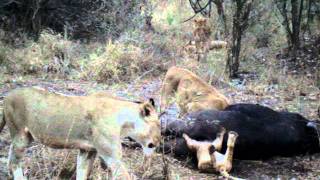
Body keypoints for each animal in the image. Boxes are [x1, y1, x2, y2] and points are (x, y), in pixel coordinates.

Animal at [0, 87, 160, 179]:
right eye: (158, 124)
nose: (158, 142)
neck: (124, 121)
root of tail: (7, 96)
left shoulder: (87, 151)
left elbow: (82, 173)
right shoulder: (111, 156)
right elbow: (123, 175)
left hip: (25, 137)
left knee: (9, 158)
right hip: (20, 135)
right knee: (14, 163)